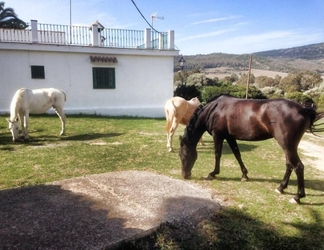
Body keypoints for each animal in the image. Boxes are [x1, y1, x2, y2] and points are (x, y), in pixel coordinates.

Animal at [180, 94, 324, 203]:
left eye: (183, 155)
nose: (185, 175)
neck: (214, 109)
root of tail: (303, 109)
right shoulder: (230, 137)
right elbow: (237, 154)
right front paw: (244, 175)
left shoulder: (218, 135)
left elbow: (217, 154)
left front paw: (213, 173)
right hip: (288, 146)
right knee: (289, 165)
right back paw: (281, 187)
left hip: (287, 145)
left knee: (298, 166)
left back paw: (297, 197)